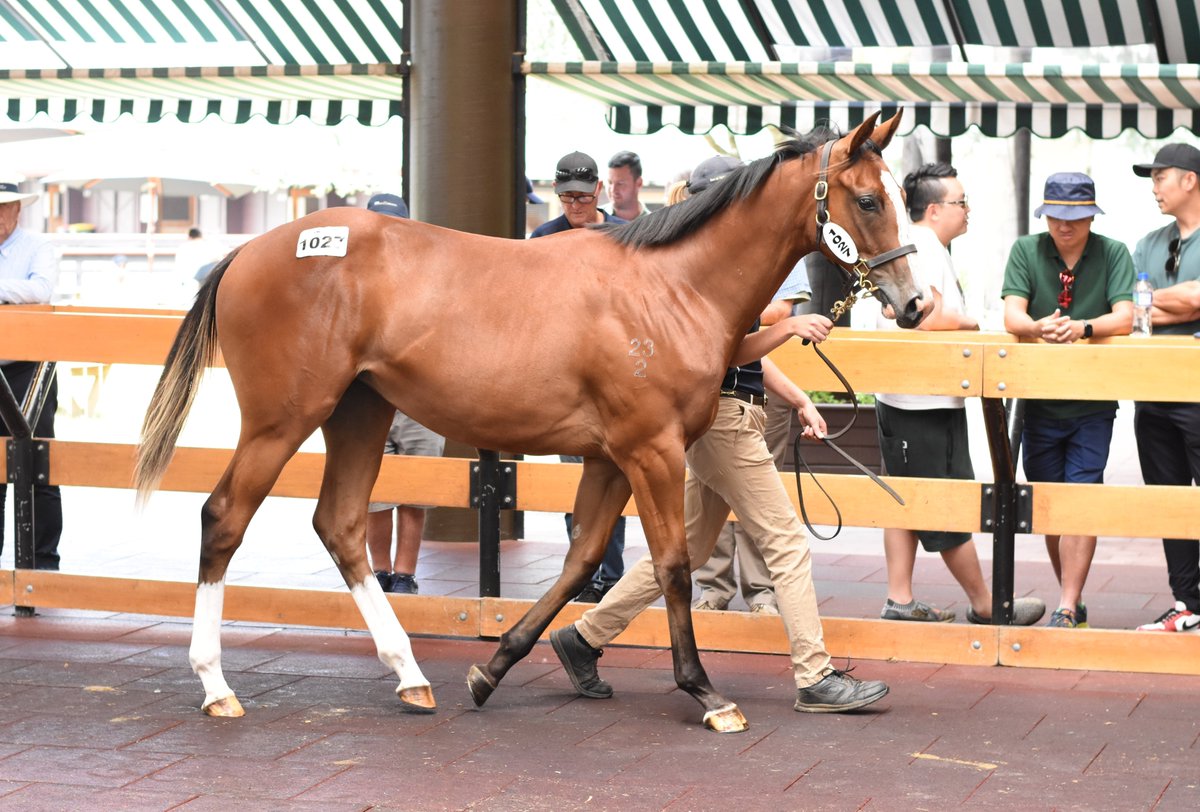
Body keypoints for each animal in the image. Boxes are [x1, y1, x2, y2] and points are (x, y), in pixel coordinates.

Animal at [136, 109, 921, 729]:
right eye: (867, 198)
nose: (915, 304)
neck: (672, 287)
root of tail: (249, 251)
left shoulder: (611, 455)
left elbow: (581, 563)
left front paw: (493, 670)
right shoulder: (652, 450)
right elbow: (669, 565)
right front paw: (704, 692)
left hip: (360, 410)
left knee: (342, 525)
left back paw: (410, 676)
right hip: (284, 417)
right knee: (224, 516)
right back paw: (216, 686)